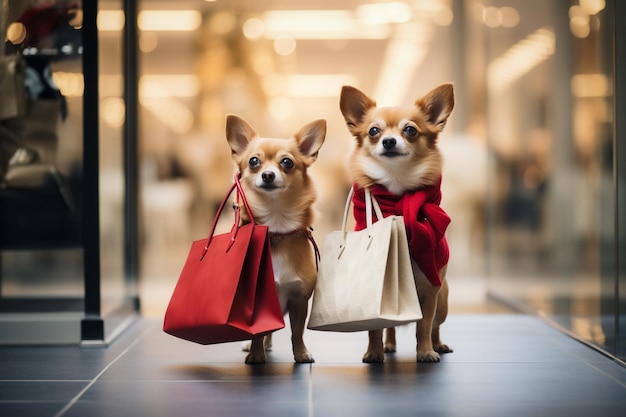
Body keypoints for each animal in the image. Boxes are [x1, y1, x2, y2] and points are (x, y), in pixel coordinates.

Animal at [224, 114, 324, 364]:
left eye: (287, 162)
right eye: (253, 162)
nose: (267, 175)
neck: (276, 229)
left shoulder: (299, 300)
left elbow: (296, 332)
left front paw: (301, 353)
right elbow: (257, 333)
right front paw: (255, 354)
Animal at [338, 83, 450, 360]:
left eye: (410, 130)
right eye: (373, 131)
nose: (389, 141)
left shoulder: (429, 290)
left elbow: (424, 325)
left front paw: (425, 352)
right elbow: (374, 328)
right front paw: (374, 352)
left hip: (442, 300)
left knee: (436, 325)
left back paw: (438, 345)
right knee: (389, 325)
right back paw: (388, 346)